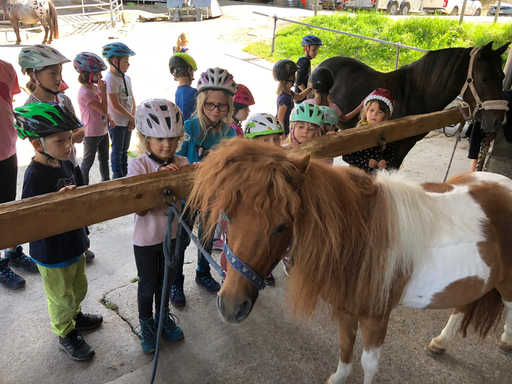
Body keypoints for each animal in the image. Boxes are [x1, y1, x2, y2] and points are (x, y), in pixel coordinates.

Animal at [188, 140, 512, 384]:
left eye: (282, 226)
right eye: (229, 215)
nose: (230, 307)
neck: (359, 241)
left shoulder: (376, 318)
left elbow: (369, 364)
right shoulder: (345, 309)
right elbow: (345, 349)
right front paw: (337, 378)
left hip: (506, 283)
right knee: (463, 304)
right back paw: (441, 342)